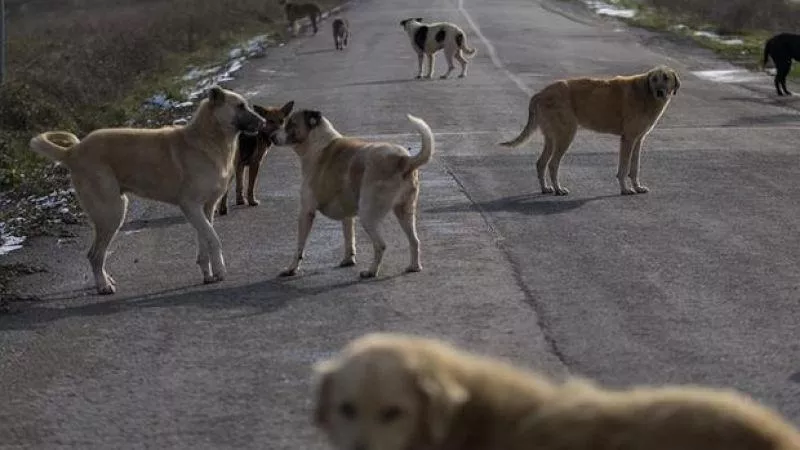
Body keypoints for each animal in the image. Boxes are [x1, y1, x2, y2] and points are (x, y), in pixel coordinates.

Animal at [28, 87, 266, 296]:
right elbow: (214, 239)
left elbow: (205, 240)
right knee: (94, 255)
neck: (208, 138)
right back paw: (103, 286)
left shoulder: (205, 208)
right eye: (240, 106)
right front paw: (220, 270)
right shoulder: (190, 206)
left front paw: (208, 273)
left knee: (98, 254)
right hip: (111, 213)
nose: (263, 123)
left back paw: (106, 279)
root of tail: (72, 151)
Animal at [270, 110, 434, 278]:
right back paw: (414, 266)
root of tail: (403, 159)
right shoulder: (347, 214)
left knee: (381, 245)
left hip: (368, 215)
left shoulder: (306, 212)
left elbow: (299, 247)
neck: (317, 143)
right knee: (414, 240)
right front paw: (348, 260)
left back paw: (371, 271)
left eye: (291, 124)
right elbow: (349, 237)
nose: (271, 137)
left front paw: (291, 268)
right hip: (405, 211)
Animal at [500, 65, 680, 195]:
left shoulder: (638, 139)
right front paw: (625, 189)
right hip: (566, 135)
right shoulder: (628, 139)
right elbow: (623, 168)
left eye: (666, 78)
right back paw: (558, 189)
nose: (660, 92)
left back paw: (545, 188)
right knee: (552, 164)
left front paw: (637, 187)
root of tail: (540, 93)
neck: (645, 93)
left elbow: (634, 168)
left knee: (541, 163)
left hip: (552, 138)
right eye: (654, 79)